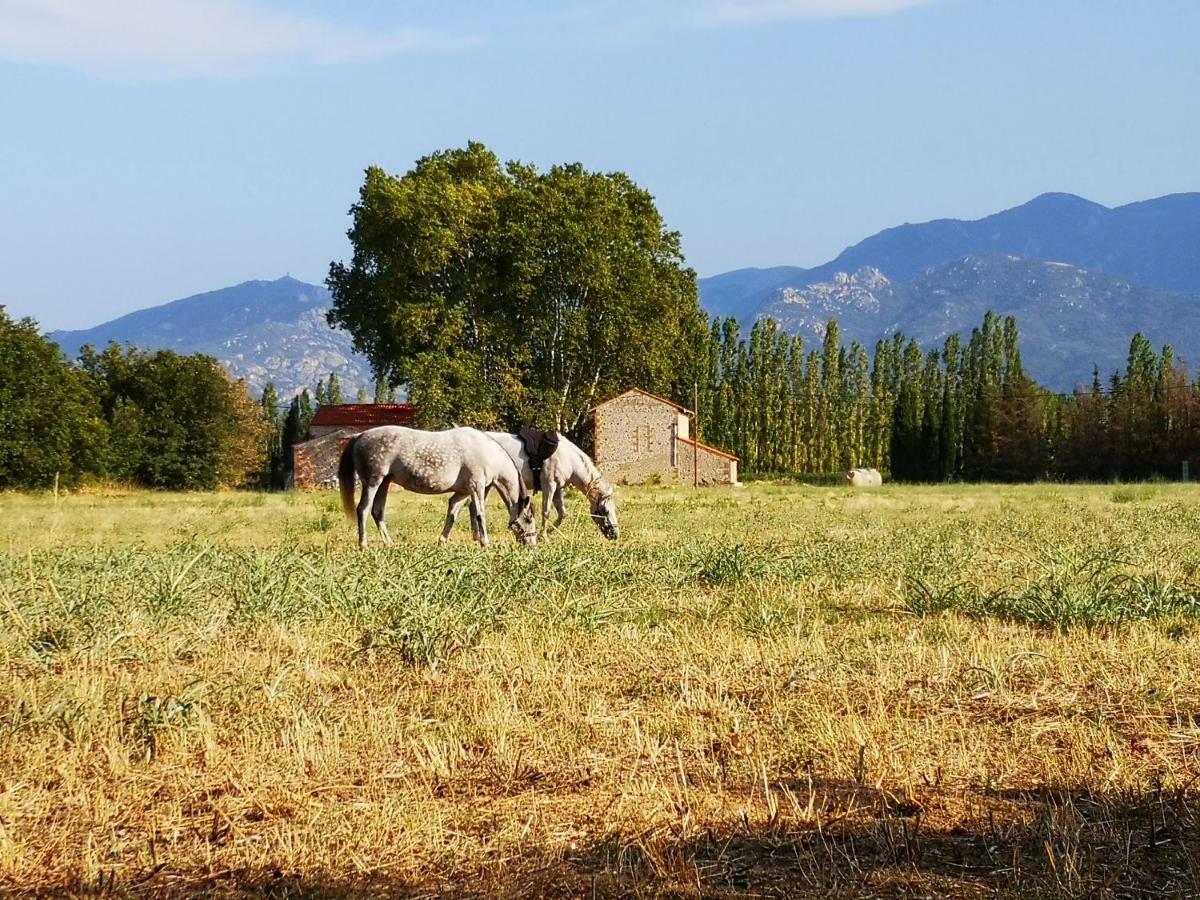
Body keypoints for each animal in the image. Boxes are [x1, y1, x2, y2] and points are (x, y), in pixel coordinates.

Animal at [336, 427, 537, 549]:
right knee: (363, 509)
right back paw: (364, 545)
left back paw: (389, 544)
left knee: (377, 511)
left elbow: (453, 513)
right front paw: (485, 543)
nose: (532, 544)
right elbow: (480, 515)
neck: (488, 453)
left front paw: (442, 541)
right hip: (373, 481)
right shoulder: (476, 487)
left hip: (385, 483)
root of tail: (359, 437)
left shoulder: (463, 492)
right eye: (528, 519)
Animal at [484, 432, 619, 540]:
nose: (616, 535)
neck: (568, 458)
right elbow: (546, 512)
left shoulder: (558, 488)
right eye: (605, 511)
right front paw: (543, 536)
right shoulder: (549, 486)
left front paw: (547, 532)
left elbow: (562, 514)